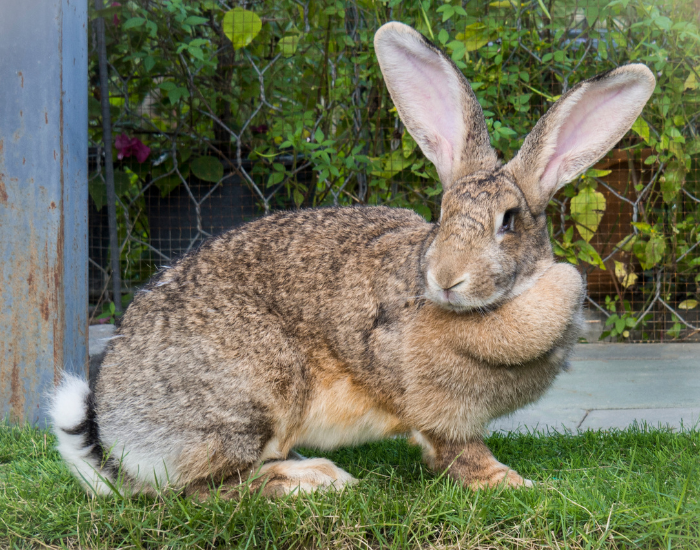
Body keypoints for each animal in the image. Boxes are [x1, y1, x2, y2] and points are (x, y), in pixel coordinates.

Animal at [50, 21, 655, 499]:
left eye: (509, 221)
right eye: (442, 213)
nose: (446, 279)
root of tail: (116, 434)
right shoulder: (439, 411)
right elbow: (460, 453)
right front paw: (514, 484)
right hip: (251, 394)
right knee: (204, 490)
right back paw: (313, 480)